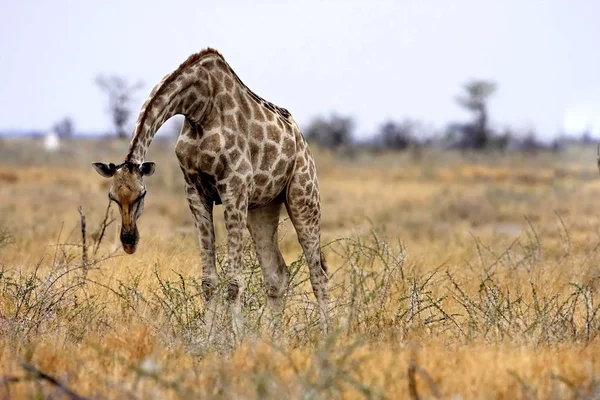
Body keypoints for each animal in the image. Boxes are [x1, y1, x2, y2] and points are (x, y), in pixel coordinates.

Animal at [91, 47, 330, 334]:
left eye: (142, 194)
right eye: (112, 197)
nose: (128, 242)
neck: (199, 107)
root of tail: (302, 141)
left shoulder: (234, 188)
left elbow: (234, 282)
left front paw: (237, 338)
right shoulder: (195, 191)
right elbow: (208, 282)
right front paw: (208, 338)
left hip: (303, 195)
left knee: (319, 273)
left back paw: (328, 334)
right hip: (262, 207)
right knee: (277, 275)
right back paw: (273, 338)